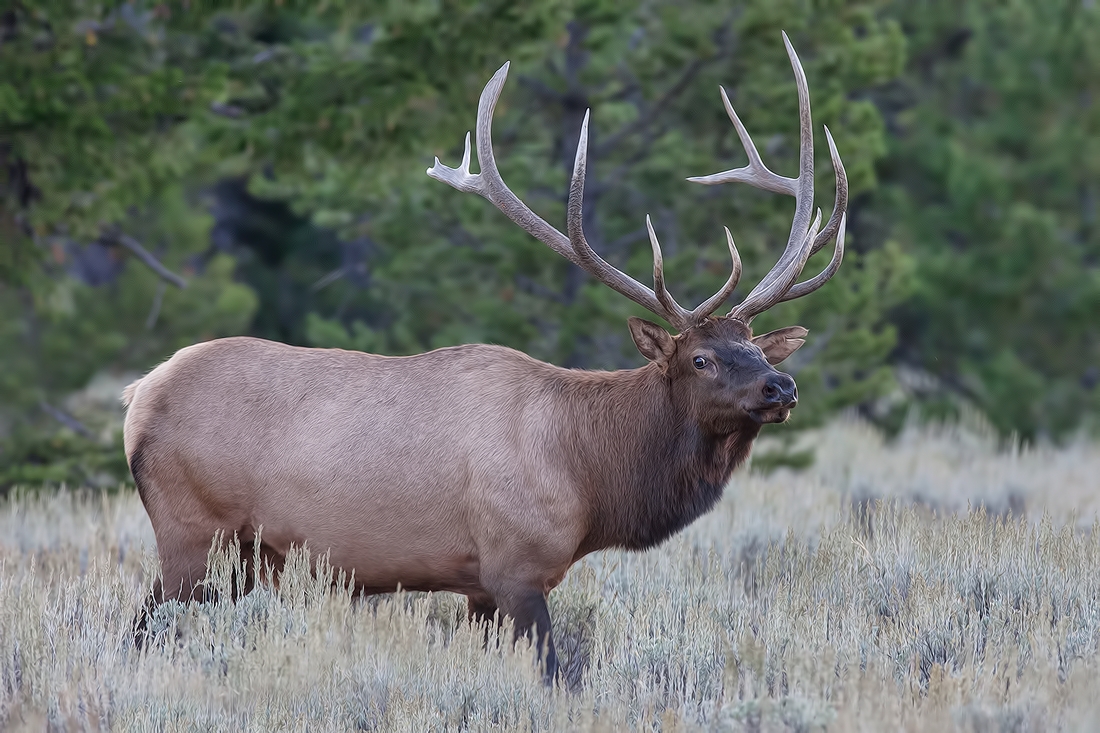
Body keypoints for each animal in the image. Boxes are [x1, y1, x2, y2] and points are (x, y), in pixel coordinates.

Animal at [126, 31, 849, 682]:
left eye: (753, 347)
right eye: (700, 358)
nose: (780, 387)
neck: (588, 473)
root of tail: (137, 394)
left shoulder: (478, 586)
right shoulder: (516, 567)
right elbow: (555, 674)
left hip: (245, 557)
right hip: (193, 531)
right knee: (142, 627)